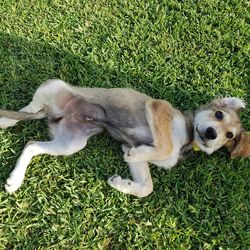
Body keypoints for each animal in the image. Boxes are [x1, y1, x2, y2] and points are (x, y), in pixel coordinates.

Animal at [0, 80, 248, 197]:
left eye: (229, 135)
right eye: (219, 114)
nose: (212, 134)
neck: (187, 138)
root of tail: (54, 113)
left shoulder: (142, 158)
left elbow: (146, 187)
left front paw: (122, 183)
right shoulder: (157, 107)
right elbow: (165, 147)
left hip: (71, 143)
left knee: (31, 144)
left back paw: (15, 180)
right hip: (54, 86)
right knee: (31, 107)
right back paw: (5, 120)